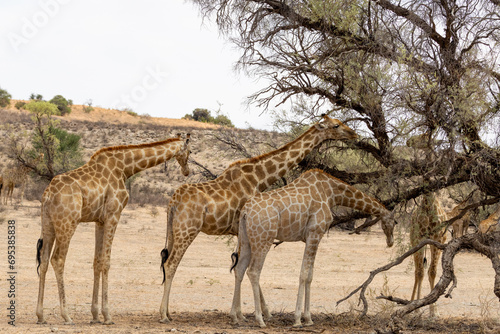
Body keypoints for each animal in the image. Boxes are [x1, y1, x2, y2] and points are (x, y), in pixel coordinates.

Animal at [35, 134, 191, 326]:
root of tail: (48, 195)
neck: (125, 168)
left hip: (47, 224)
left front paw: (95, 315)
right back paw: (66, 315)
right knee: (57, 259)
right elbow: (106, 262)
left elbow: (96, 261)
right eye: (190, 152)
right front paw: (107, 316)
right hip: (67, 223)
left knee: (43, 261)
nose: (187, 171)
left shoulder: (99, 221)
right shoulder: (113, 215)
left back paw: (41, 316)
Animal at [158, 115, 358, 324]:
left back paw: (169, 312)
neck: (259, 178)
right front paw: (256, 314)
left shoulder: (239, 231)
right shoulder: (243, 227)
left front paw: (247, 314)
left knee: (166, 261)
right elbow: (243, 267)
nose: (354, 134)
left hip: (173, 230)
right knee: (171, 264)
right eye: (336, 125)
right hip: (187, 230)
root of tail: (173, 202)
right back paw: (163, 315)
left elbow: (239, 266)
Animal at [229, 168, 396, 328]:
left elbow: (310, 275)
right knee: (253, 271)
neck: (331, 193)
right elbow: (304, 274)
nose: (391, 242)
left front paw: (308, 319)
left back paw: (237, 317)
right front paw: (298, 319)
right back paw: (260, 320)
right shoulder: (315, 233)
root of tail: (245, 211)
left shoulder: (312, 237)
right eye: (394, 222)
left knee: (239, 269)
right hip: (263, 239)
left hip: (245, 239)